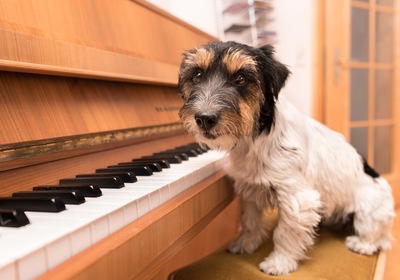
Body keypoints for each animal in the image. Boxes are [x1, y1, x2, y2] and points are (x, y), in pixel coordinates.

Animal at [177, 41, 396, 276]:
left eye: (241, 78)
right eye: (197, 75)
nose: (204, 118)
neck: (255, 138)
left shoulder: (297, 198)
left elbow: (285, 233)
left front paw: (279, 263)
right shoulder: (249, 189)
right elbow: (250, 221)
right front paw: (246, 244)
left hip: (368, 211)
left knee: (379, 238)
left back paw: (362, 244)